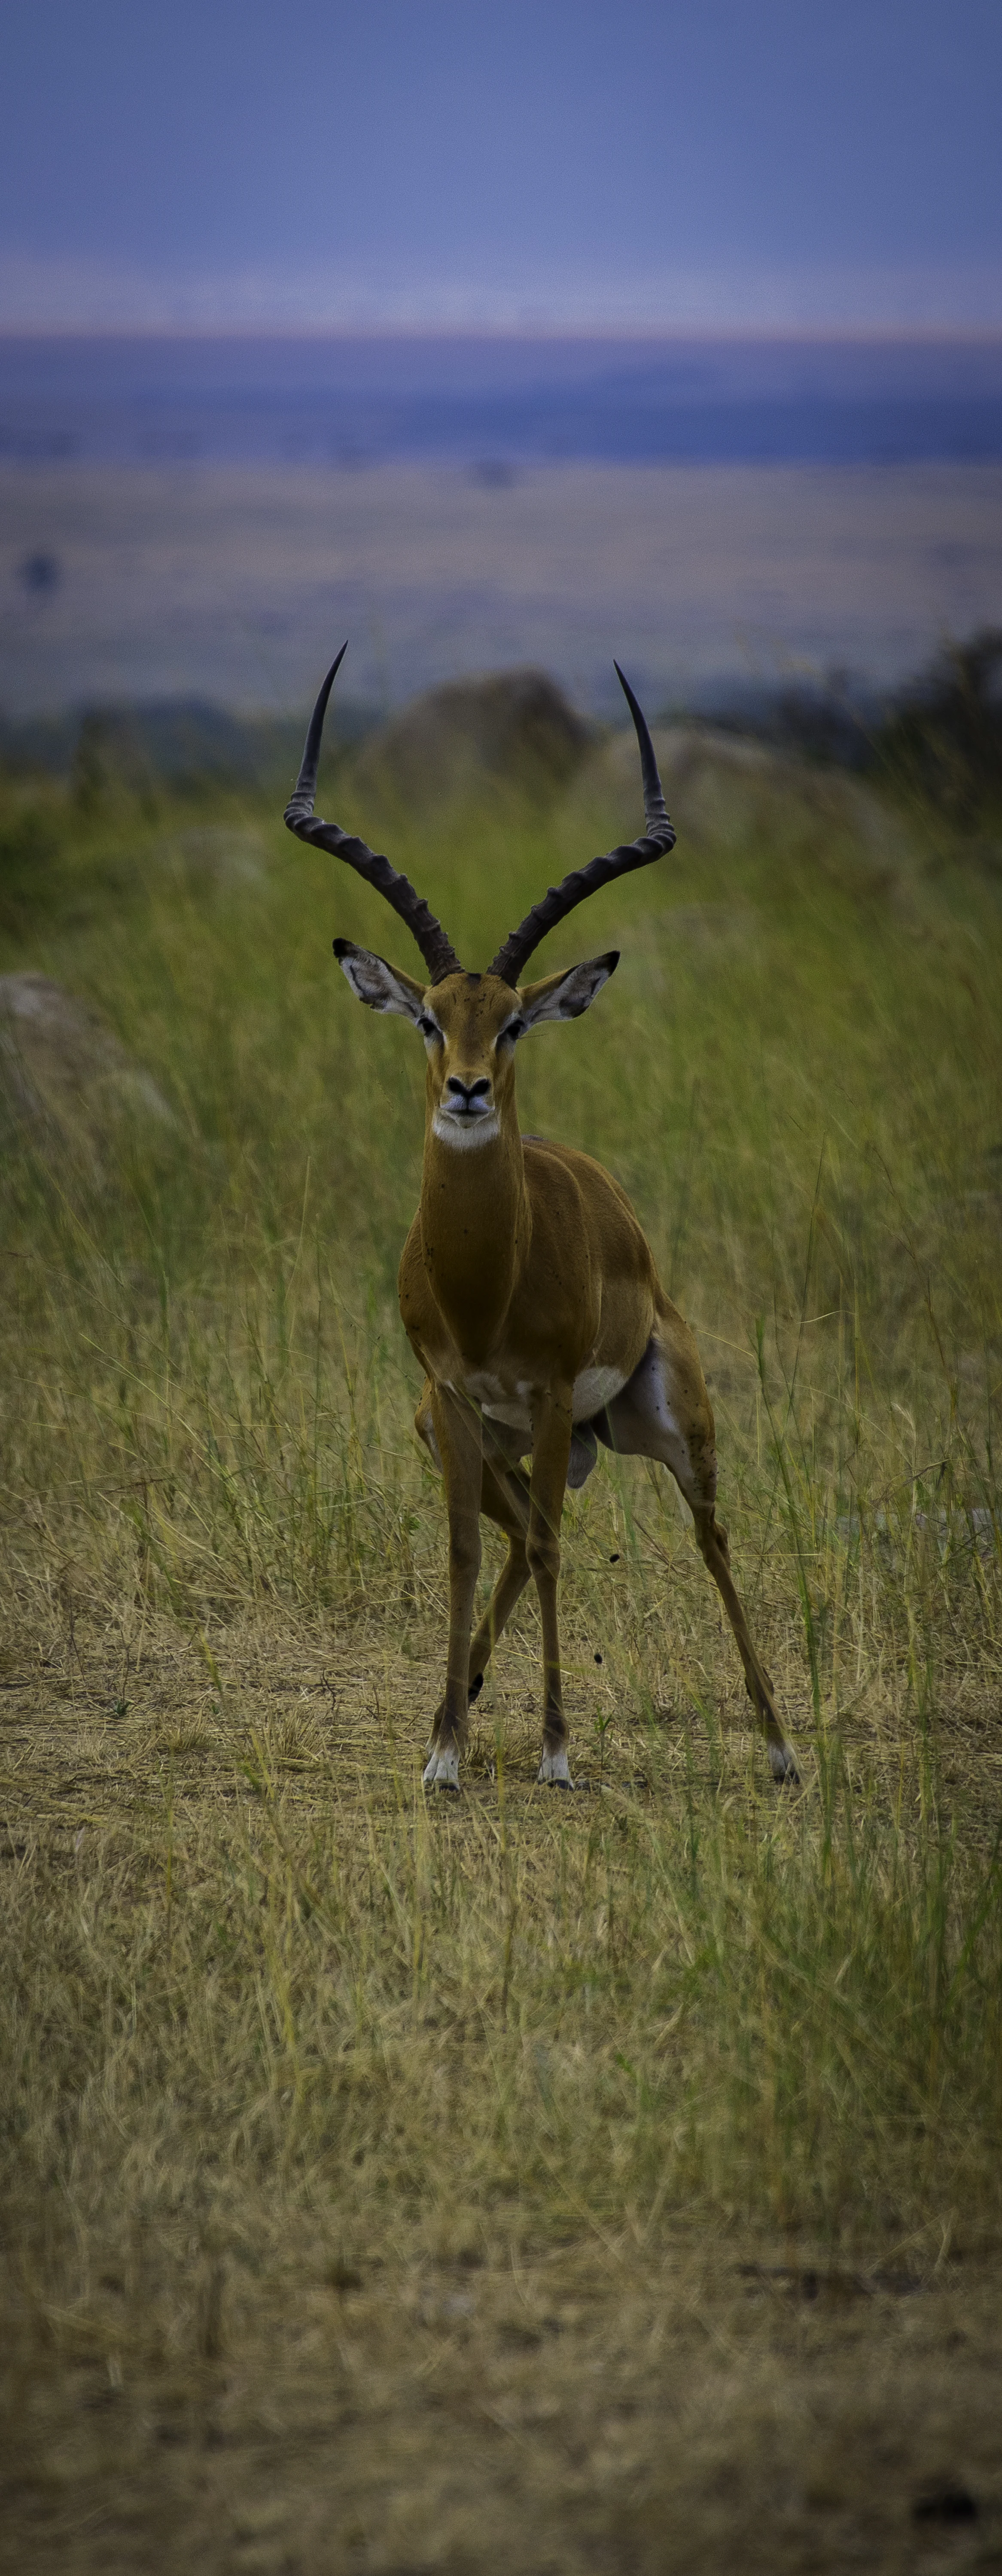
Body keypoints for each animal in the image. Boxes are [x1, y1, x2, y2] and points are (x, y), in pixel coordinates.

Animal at [285, 648, 799, 1791]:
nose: (468, 1090)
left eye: (514, 1020)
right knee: (518, 1535)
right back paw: (471, 1693)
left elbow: (563, 1550)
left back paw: (781, 1745)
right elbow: (465, 1553)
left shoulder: (557, 1391)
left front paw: (558, 1751)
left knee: (706, 1540)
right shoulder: (449, 1395)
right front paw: (442, 1749)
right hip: (475, 1435)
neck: (485, 1284)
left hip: (665, 1421)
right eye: (428, 1016)